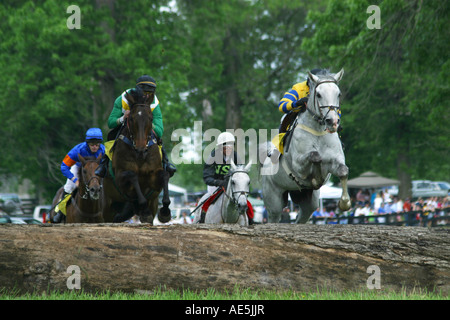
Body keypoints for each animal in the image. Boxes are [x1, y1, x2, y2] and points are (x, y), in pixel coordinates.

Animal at [102, 87, 171, 222]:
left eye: (150, 118)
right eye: (131, 119)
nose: (141, 150)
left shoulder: (153, 177)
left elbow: (165, 175)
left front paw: (165, 211)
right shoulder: (119, 178)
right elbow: (132, 175)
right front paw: (144, 209)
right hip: (107, 205)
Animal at [260, 68, 352, 222]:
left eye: (338, 94)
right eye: (319, 94)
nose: (332, 122)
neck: (318, 131)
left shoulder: (335, 161)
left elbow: (343, 171)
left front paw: (344, 204)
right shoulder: (298, 165)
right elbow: (315, 156)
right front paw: (316, 179)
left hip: (309, 202)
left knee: (302, 217)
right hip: (274, 200)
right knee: (274, 216)